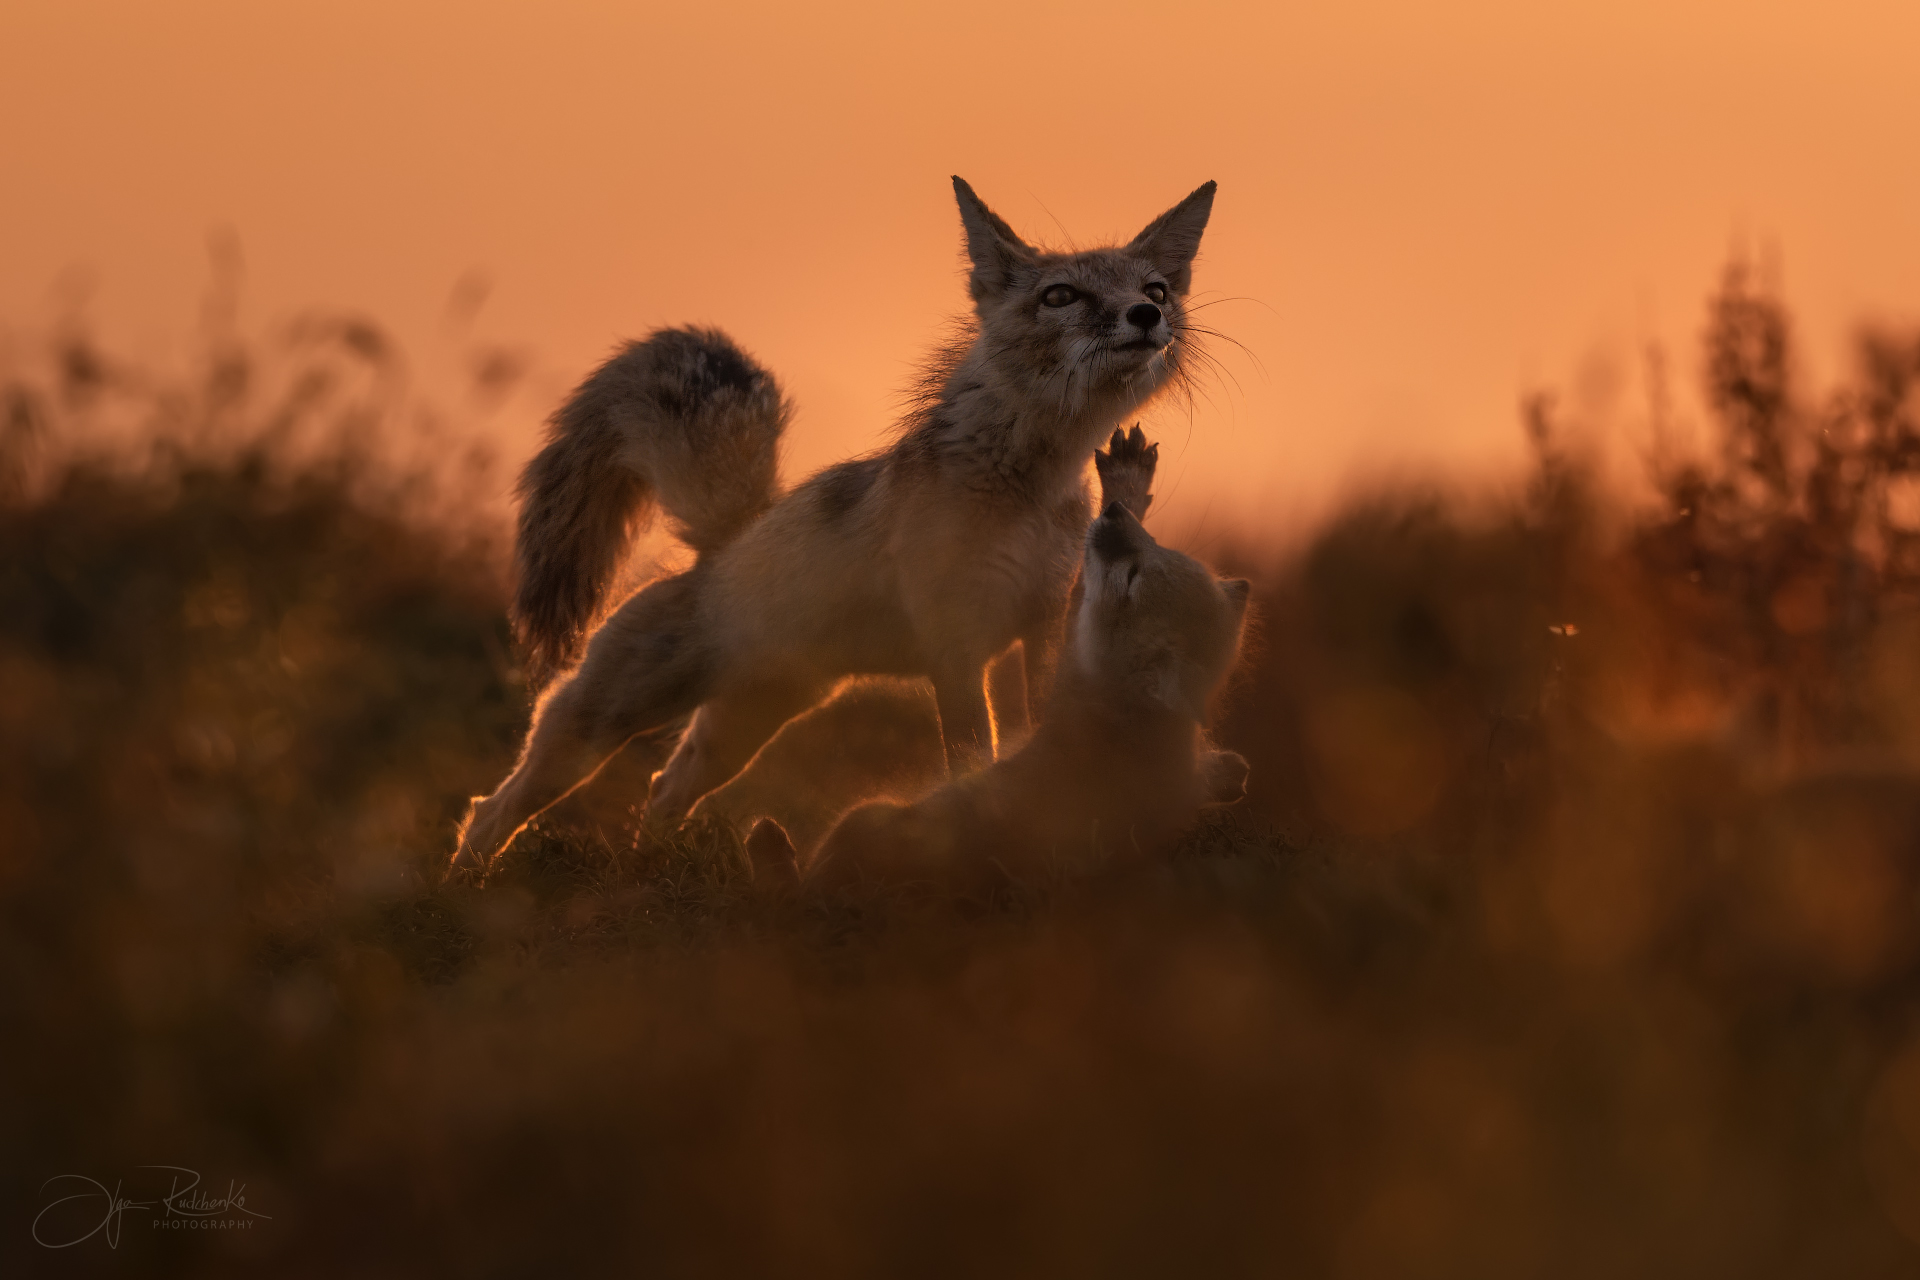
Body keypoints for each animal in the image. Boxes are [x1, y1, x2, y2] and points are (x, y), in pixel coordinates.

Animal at [449, 176, 1218, 879]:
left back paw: (652, 872)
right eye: (1061, 296)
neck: (1028, 489)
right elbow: (973, 754)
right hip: (598, 728)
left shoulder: (1043, 625)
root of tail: (728, 544)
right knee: (493, 806)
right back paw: (466, 887)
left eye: (1156, 288)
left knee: (662, 788)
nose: (1146, 315)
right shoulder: (956, 645)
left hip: (741, 733)